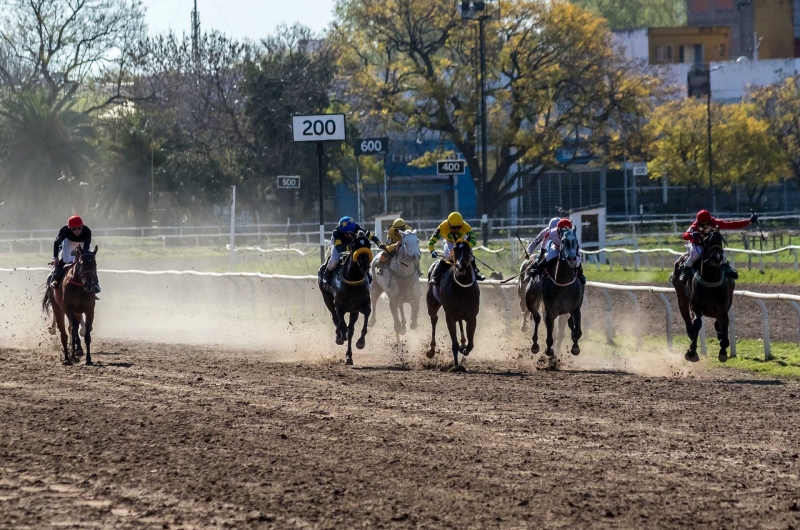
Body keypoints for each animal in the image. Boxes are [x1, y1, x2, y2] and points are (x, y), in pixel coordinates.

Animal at [318, 234, 374, 364]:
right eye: (354, 245)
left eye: (368, 244)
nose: (364, 264)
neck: (353, 279)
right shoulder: (339, 305)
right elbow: (342, 324)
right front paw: (341, 336)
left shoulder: (361, 305)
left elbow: (365, 318)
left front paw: (361, 342)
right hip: (327, 298)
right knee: (335, 318)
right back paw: (339, 336)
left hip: (353, 312)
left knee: (350, 330)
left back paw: (349, 356)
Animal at [424, 237, 482, 370]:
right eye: (456, 249)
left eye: (468, 250)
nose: (461, 265)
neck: (462, 288)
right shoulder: (449, 315)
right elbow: (454, 343)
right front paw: (455, 365)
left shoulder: (472, 316)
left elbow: (471, 343)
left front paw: (464, 348)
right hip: (432, 305)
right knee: (434, 319)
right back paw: (431, 350)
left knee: (460, 321)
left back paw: (463, 343)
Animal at [672, 229, 736, 360]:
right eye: (706, 241)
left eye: (720, 239)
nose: (717, 257)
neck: (711, 281)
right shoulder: (696, 306)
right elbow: (697, 323)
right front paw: (691, 351)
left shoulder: (723, 309)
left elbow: (725, 327)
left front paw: (723, 351)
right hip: (681, 296)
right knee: (688, 320)